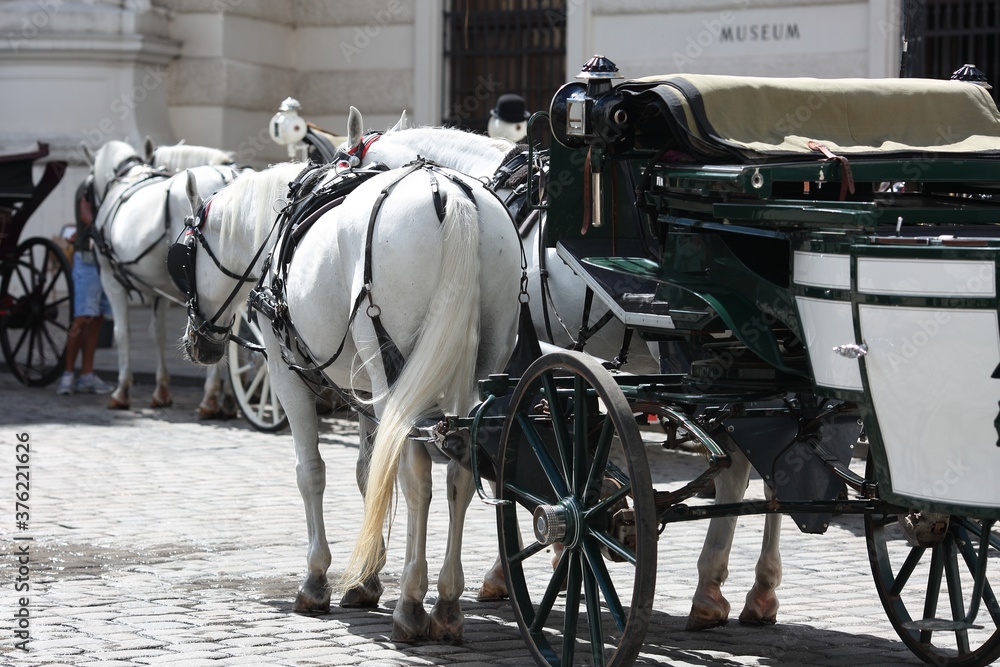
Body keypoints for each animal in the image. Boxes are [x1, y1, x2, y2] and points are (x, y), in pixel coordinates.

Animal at [82, 141, 238, 418]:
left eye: (87, 191)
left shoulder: (112, 281)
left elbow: (122, 333)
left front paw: (122, 390)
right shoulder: (159, 288)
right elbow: (158, 334)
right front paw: (161, 390)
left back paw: (210, 397)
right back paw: (228, 398)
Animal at [182, 158, 524, 640]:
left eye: (184, 255)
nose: (196, 342)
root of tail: (449, 193)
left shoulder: (286, 376)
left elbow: (311, 473)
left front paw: (316, 579)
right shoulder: (362, 389)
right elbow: (368, 472)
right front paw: (366, 580)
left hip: (395, 374)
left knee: (417, 477)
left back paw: (412, 604)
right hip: (482, 363)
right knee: (459, 471)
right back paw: (447, 604)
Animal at [342, 109, 780, 632]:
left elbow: (510, 460)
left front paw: (524, 560)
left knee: (738, 462)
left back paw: (711, 587)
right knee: (775, 458)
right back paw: (758, 589)